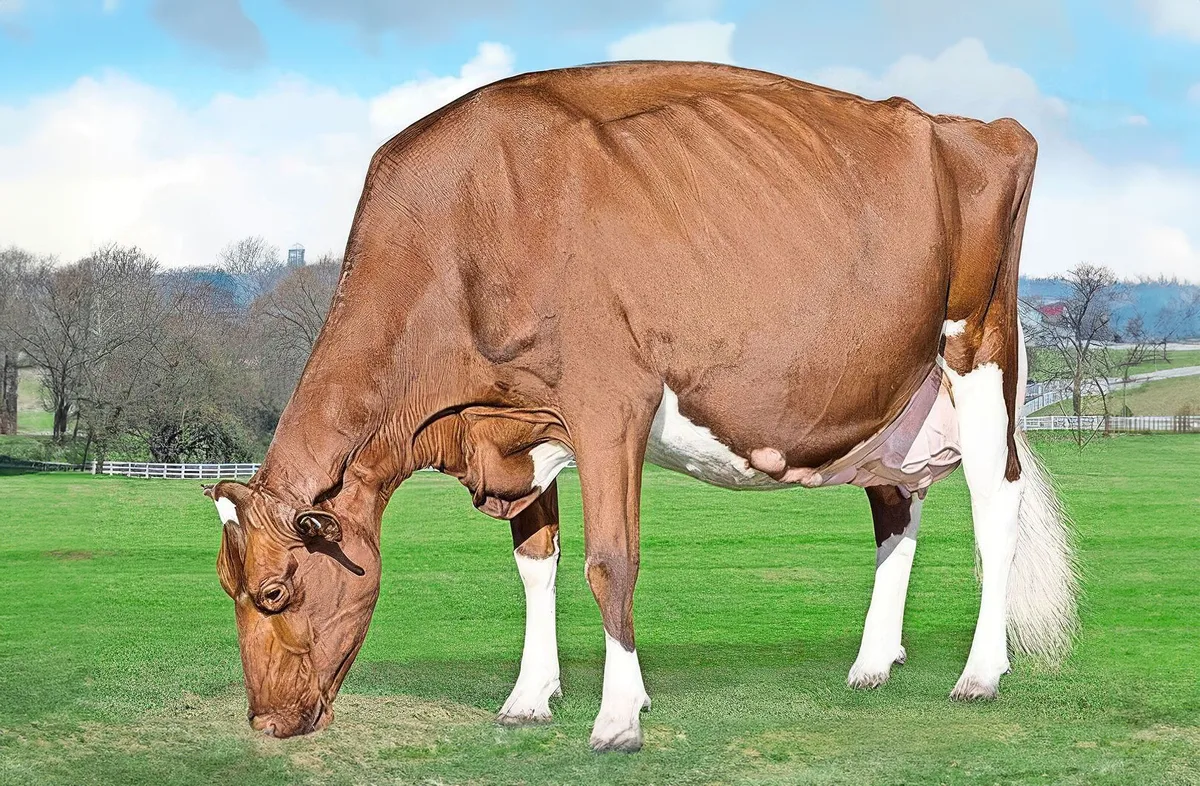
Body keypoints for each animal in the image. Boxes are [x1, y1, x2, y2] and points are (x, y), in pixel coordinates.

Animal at [203, 60, 1078, 753]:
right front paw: (528, 699)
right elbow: (536, 563)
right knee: (896, 508)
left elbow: (609, 562)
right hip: (890, 393)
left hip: (978, 350)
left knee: (994, 507)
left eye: (275, 593)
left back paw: (979, 674)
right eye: (227, 590)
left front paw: (618, 718)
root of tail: (978, 125)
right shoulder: (522, 422)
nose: (266, 724)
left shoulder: (608, 403)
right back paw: (870, 665)